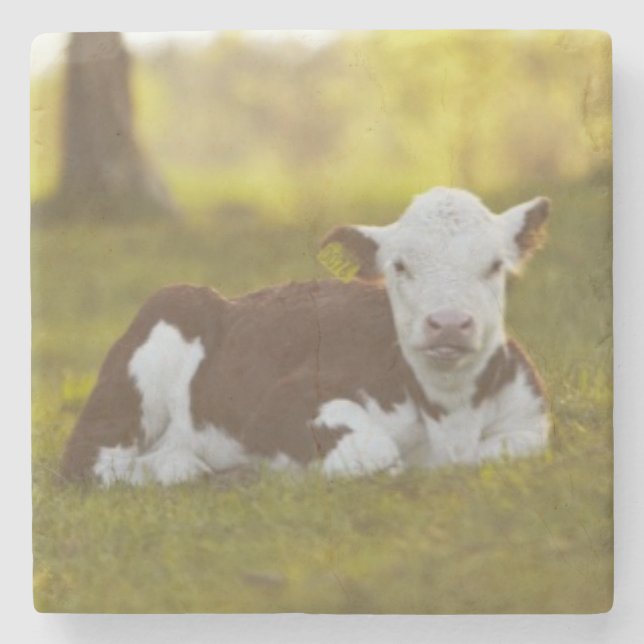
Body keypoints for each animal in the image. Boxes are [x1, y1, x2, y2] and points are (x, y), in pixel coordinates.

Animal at [61, 187, 551, 486]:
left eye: (495, 265)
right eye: (399, 266)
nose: (448, 322)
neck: (451, 418)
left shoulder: (532, 421)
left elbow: (509, 451)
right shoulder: (280, 402)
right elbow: (375, 453)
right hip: (145, 360)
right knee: (91, 461)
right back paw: (187, 467)